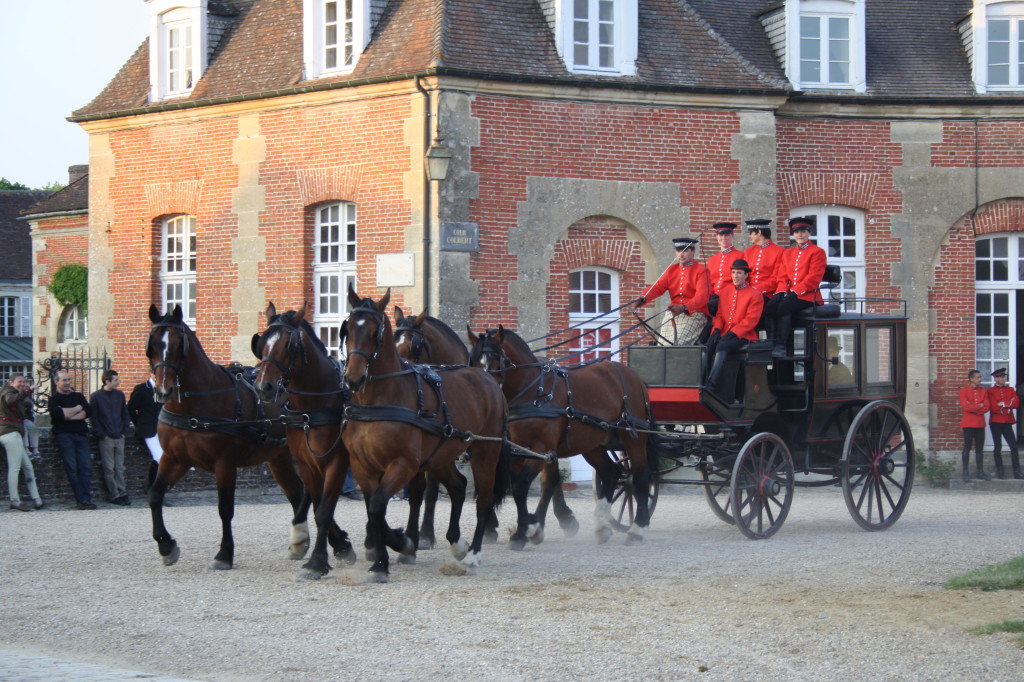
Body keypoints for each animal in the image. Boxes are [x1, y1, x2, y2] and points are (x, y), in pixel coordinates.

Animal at [144, 305, 352, 565]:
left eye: (176, 345)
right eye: (151, 345)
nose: (163, 390)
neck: (197, 403)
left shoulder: (224, 463)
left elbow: (225, 508)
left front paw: (224, 553)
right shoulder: (175, 459)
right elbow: (155, 495)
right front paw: (165, 545)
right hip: (280, 458)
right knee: (300, 493)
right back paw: (318, 540)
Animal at [250, 301, 364, 577]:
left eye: (289, 344)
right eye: (263, 343)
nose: (263, 388)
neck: (311, 409)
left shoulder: (336, 462)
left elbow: (324, 510)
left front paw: (318, 561)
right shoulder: (306, 462)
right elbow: (318, 504)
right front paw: (339, 546)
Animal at [342, 284, 509, 577]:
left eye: (376, 333)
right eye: (347, 329)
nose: (353, 378)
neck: (379, 401)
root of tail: (488, 380)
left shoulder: (404, 464)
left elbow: (382, 504)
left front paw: (404, 542)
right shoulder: (362, 465)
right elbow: (374, 508)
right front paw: (381, 554)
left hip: (486, 452)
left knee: (484, 500)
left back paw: (473, 553)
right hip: (443, 455)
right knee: (458, 485)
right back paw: (457, 542)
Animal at [466, 323, 655, 548]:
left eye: (497, 359)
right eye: (473, 359)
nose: (485, 390)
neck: (534, 391)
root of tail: (632, 375)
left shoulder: (542, 449)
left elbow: (524, 487)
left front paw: (525, 531)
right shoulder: (517, 452)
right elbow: (522, 489)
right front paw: (527, 529)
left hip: (634, 439)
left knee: (640, 478)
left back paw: (637, 529)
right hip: (592, 444)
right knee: (611, 472)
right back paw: (602, 526)